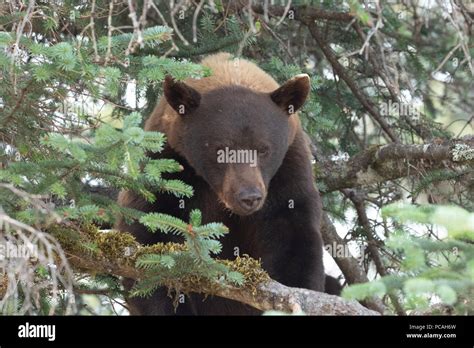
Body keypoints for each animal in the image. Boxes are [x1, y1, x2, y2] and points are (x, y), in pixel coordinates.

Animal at [117, 52, 334, 316]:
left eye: (263, 149)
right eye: (221, 149)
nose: (249, 196)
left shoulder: (288, 174)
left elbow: (295, 242)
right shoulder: (166, 167)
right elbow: (148, 243)